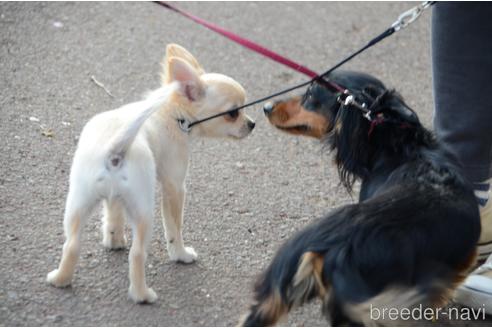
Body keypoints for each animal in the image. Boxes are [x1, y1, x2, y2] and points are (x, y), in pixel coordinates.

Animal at [46, 44, 256, 304]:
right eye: (234, 113)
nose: (252, 124)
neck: (173, 111)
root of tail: (116, 147)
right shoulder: (175, 186)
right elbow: (174, 227)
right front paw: (180, 254)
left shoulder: (115, 197)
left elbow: (113, 214)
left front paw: (114, 239)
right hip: (145, 211)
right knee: (137, 254)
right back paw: (142, 295)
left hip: (78, 202)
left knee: (72, 244)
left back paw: (60, 279)